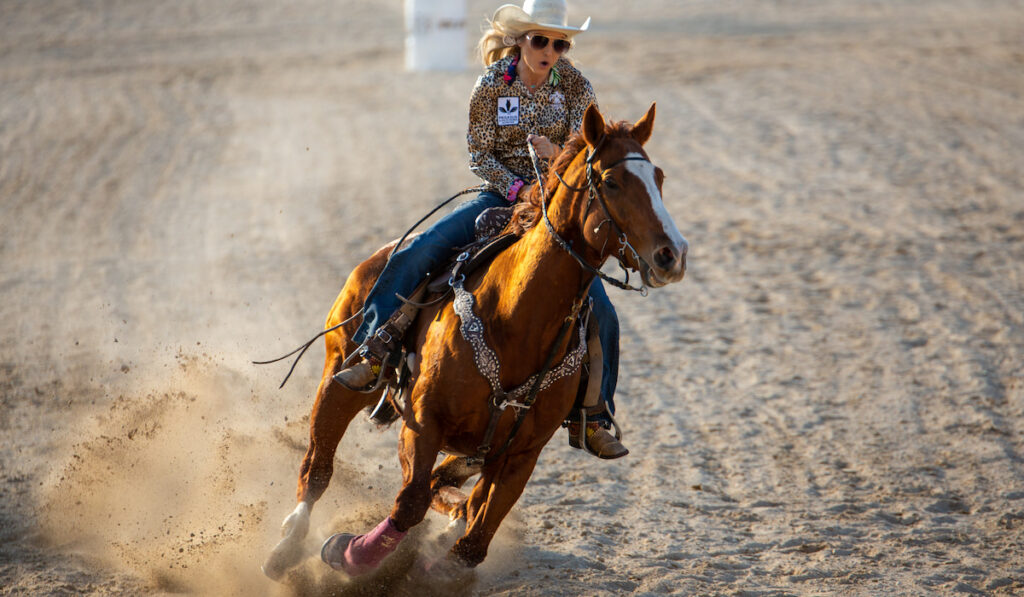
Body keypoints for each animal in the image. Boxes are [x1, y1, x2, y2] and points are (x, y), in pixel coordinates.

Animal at [264, 104, 688, 581]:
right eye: (612, 182)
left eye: (659, 177)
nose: (673, 254)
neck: (514, 318)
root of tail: (381, 254)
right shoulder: (423, 420)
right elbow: (409, 503)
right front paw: (346, 553)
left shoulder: (522, 452)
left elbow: (473, 540)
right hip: (340, 373)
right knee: (318, 463)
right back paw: (286, 548)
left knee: (451, 490)